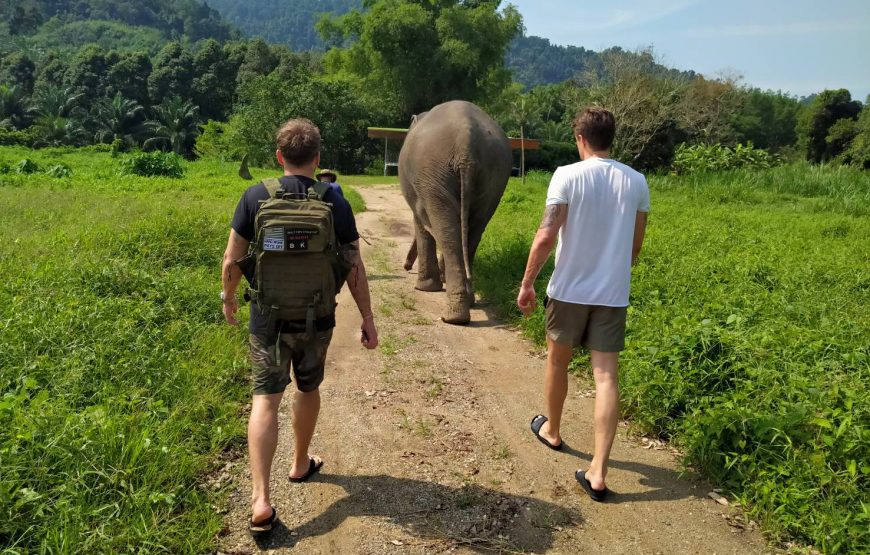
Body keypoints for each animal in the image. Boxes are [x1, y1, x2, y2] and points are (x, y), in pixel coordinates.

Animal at [399, 100, 513, 325]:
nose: (406, 267)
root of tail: (466, 141)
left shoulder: (419, 190)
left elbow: (422, 226)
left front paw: (424, 288)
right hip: (492, 178)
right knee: (471, 231)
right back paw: (467, 302)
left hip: (432, 174)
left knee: (447, 233)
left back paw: (453, 317)